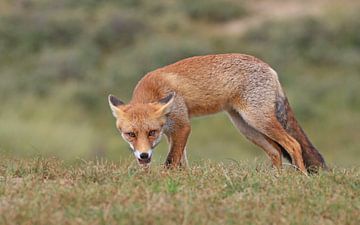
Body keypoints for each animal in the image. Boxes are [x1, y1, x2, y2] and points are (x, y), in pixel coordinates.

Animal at [107, 53, 326, 173]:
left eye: (152, 132)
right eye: (130, 134)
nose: (143, 155)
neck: (155, 90)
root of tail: (269, 68)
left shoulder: (183, 127)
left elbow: (170, 161)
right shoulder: (172, 133)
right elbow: (181, 161)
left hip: (258, 120)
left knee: (293, 144)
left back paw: (301, 178)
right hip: (245, 127)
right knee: (275, 151)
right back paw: (276, 179)